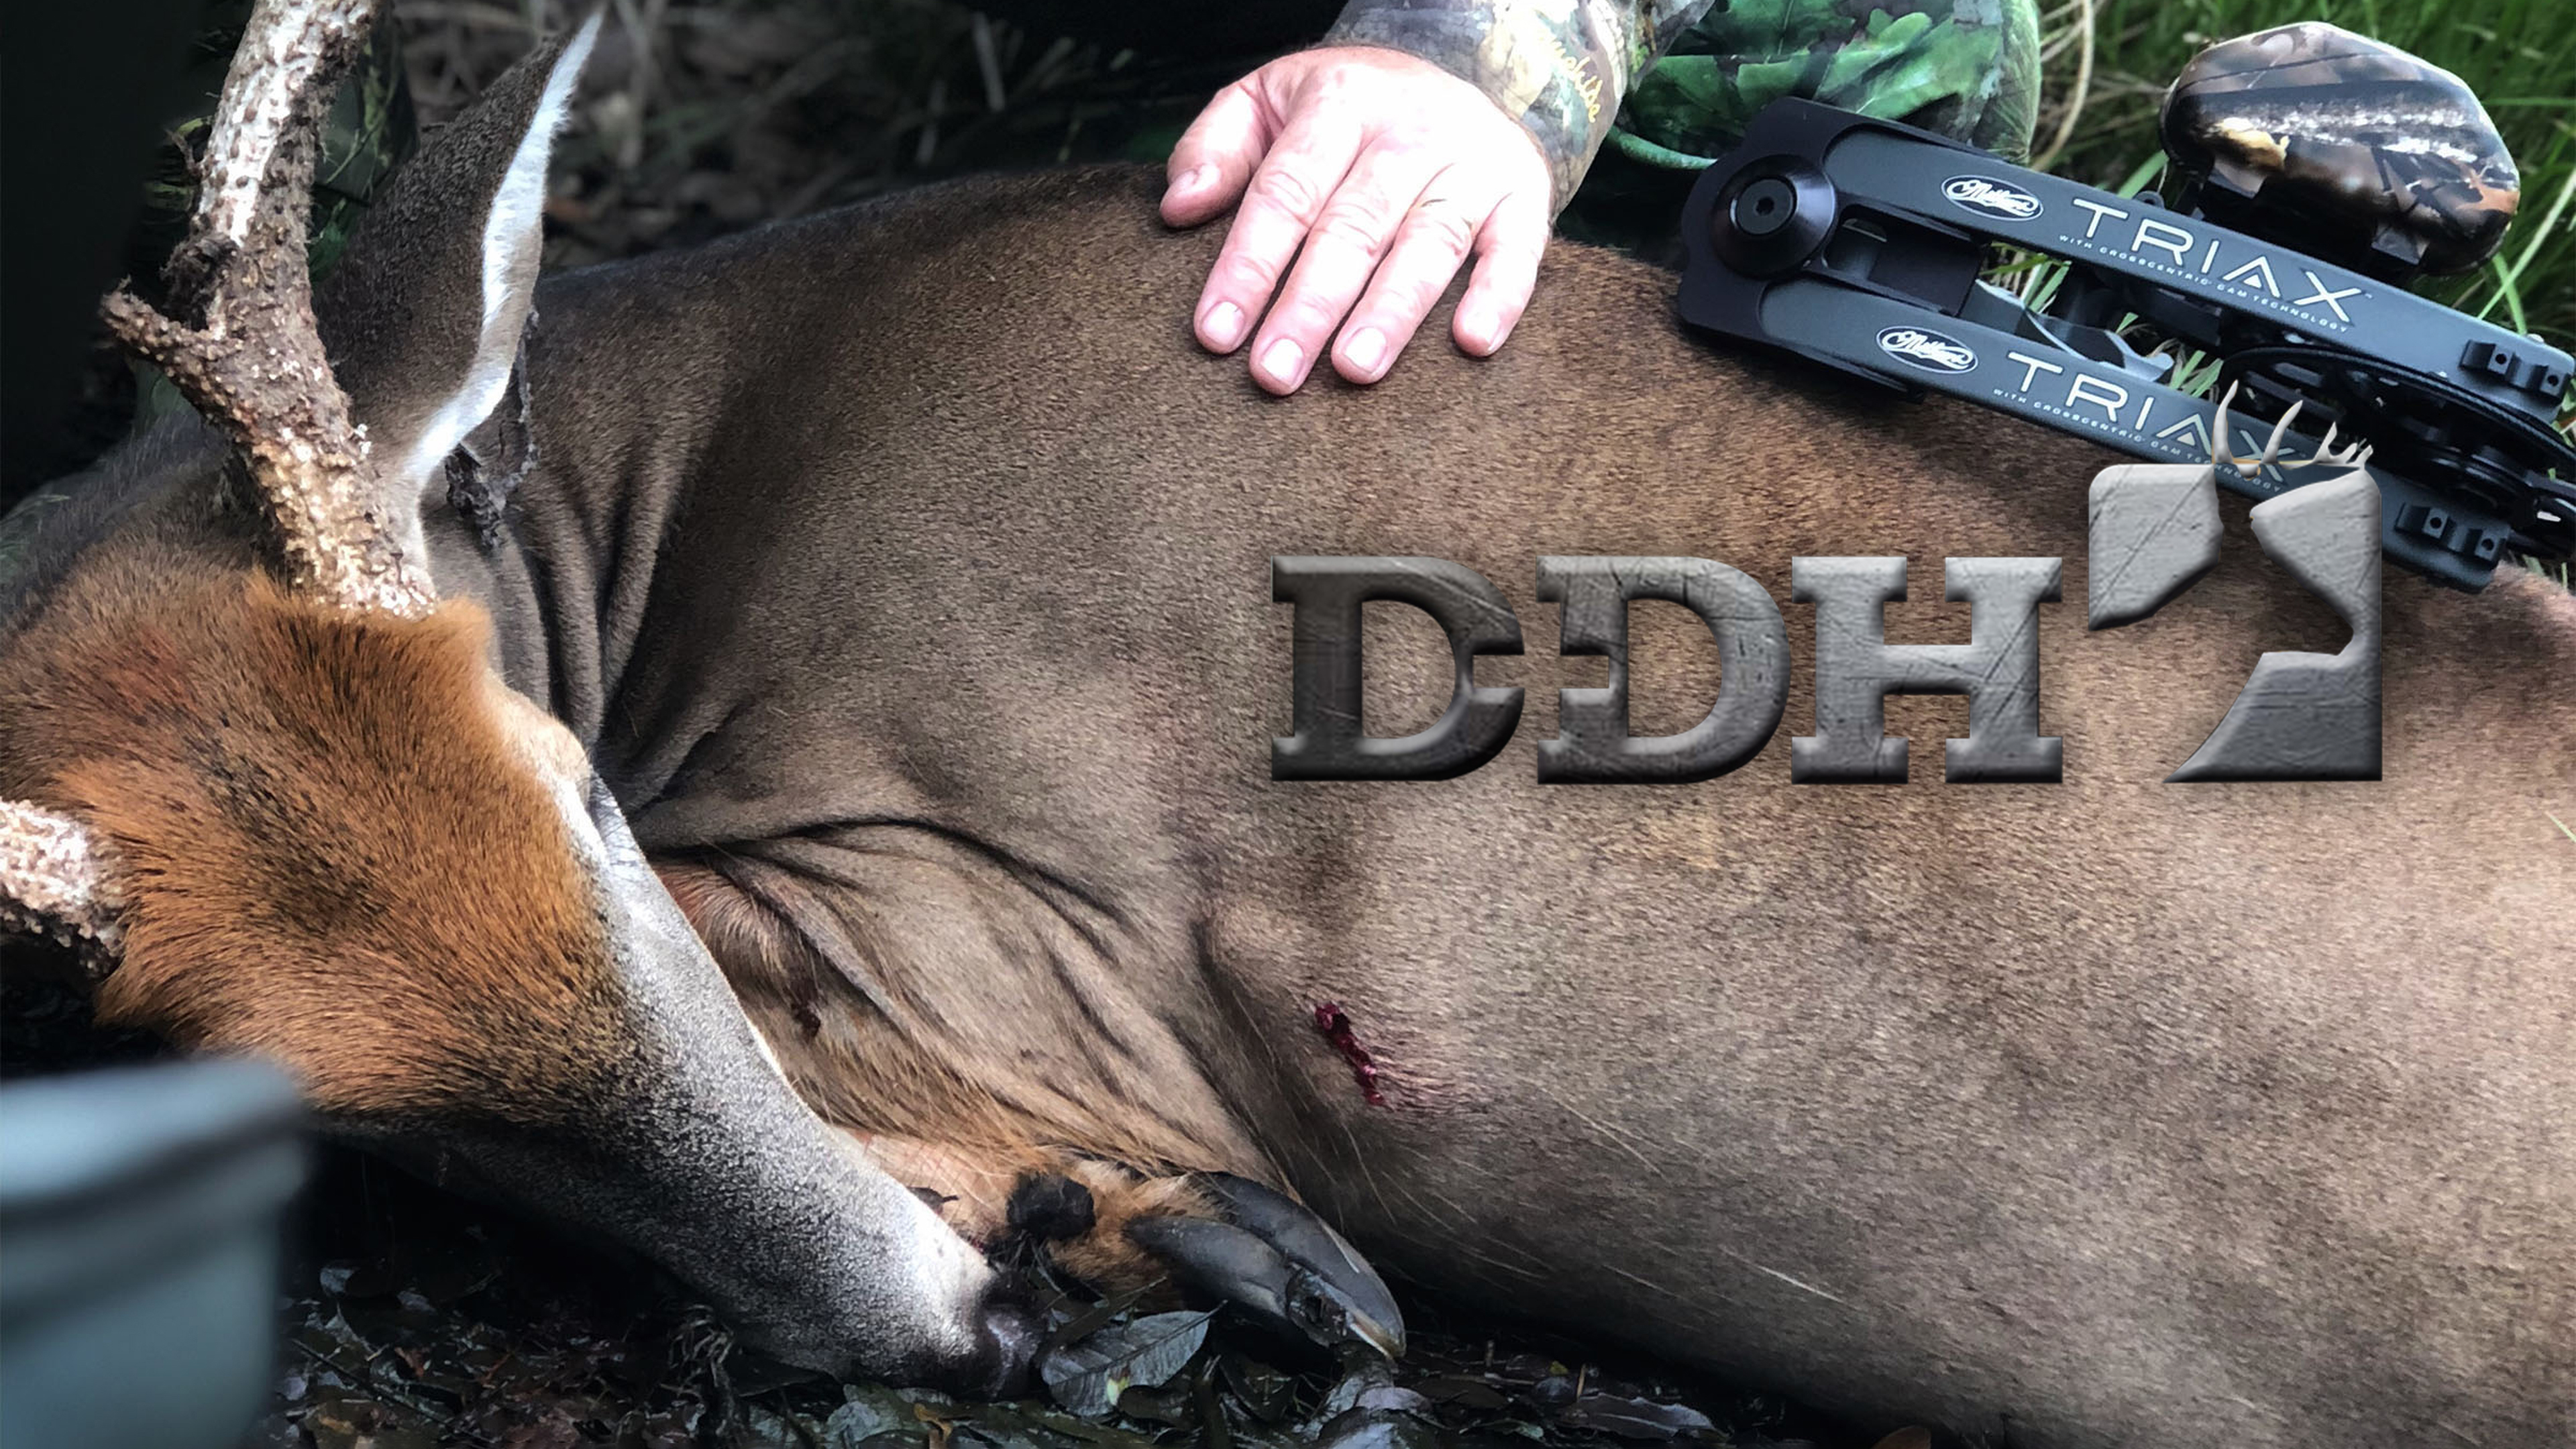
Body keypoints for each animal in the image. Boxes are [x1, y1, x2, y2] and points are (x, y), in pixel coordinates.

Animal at [3, 6, 2569, 1445]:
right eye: (316, 1095)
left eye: (583, 803)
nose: (954, 1336)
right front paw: (1159, 1245)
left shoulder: (1026, 911)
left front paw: (1185, 1240)